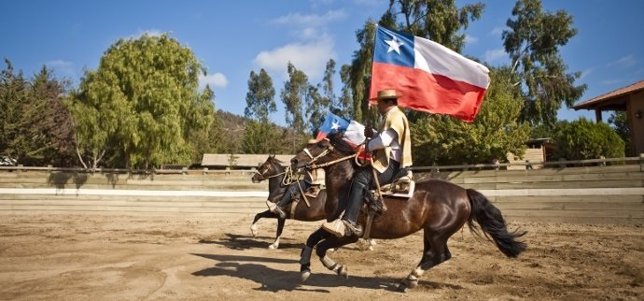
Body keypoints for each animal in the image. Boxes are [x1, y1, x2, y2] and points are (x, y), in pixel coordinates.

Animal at [292, 132, 528, 290]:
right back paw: (409, 279)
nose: (294, 160)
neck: (347, 187)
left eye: (321, 145)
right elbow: (312, 239)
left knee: (441, 255)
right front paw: (304, 268)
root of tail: (464, 192)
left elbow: (322, 247)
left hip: (437, 233)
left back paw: (411, 278)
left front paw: (339, 268)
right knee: (432, 255)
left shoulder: (350, 235)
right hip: (430, 233)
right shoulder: (332, 225)